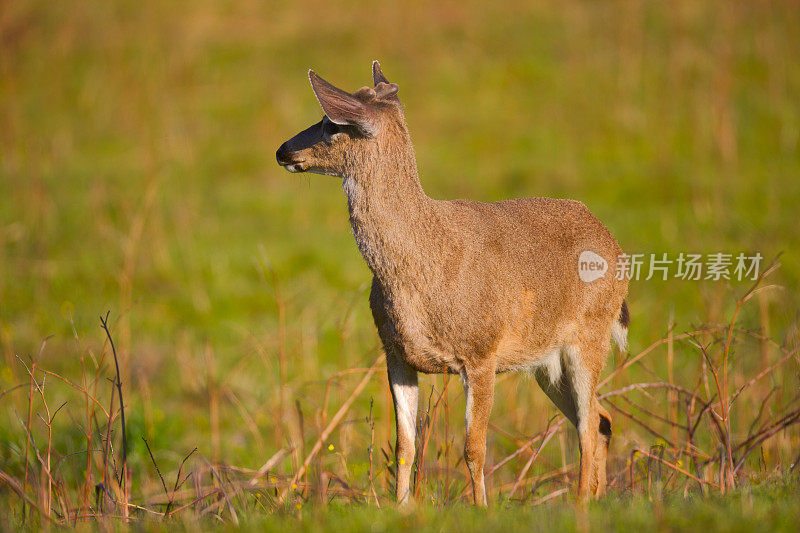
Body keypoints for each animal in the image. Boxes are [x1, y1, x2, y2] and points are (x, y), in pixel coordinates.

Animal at [276, 61, 632, 502]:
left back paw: (582, 504)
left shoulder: (482, 352)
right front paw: (401, 507)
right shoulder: (396, 353)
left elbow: (473, 447)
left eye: (331, 123)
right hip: (546, 361)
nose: (283, 150)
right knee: (601, 418)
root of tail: (613, 244)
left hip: (589, 335)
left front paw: (480, 507)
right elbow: (405, 446)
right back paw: (595, 499)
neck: (419, 272)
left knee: (586, 426)